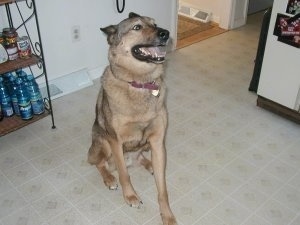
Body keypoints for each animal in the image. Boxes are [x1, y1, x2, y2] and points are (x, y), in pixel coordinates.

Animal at [86, 12, 176, 225]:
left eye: (155, 24)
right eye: (137, 27)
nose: (166, 33)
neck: (141, 83)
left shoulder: (158, 141)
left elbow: (162, 189)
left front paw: (167, 214)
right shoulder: (116, 141)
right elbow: (124, 175)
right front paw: (131, 196)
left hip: (146, 145)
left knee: (142, 157)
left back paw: (151, 165)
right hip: (104, 143)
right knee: (100, 163)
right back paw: (109, 178)